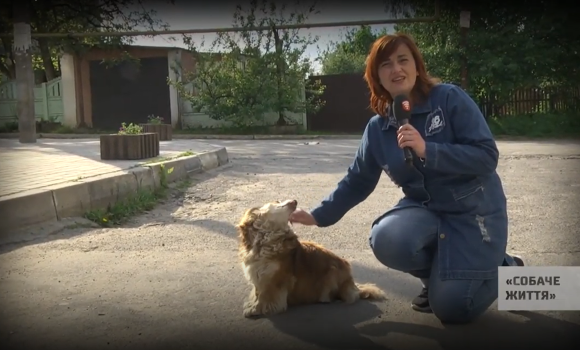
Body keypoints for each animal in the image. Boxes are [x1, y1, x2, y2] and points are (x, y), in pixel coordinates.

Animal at [236, 198, 386, 318]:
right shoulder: (257, 273)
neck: (266, 239)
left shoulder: (273, 277)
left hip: (332, 271)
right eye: (277, 201)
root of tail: (353, 284)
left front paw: (258, 309)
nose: (295, 201)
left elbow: (265, 295)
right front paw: (253, 305)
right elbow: (257, 292)